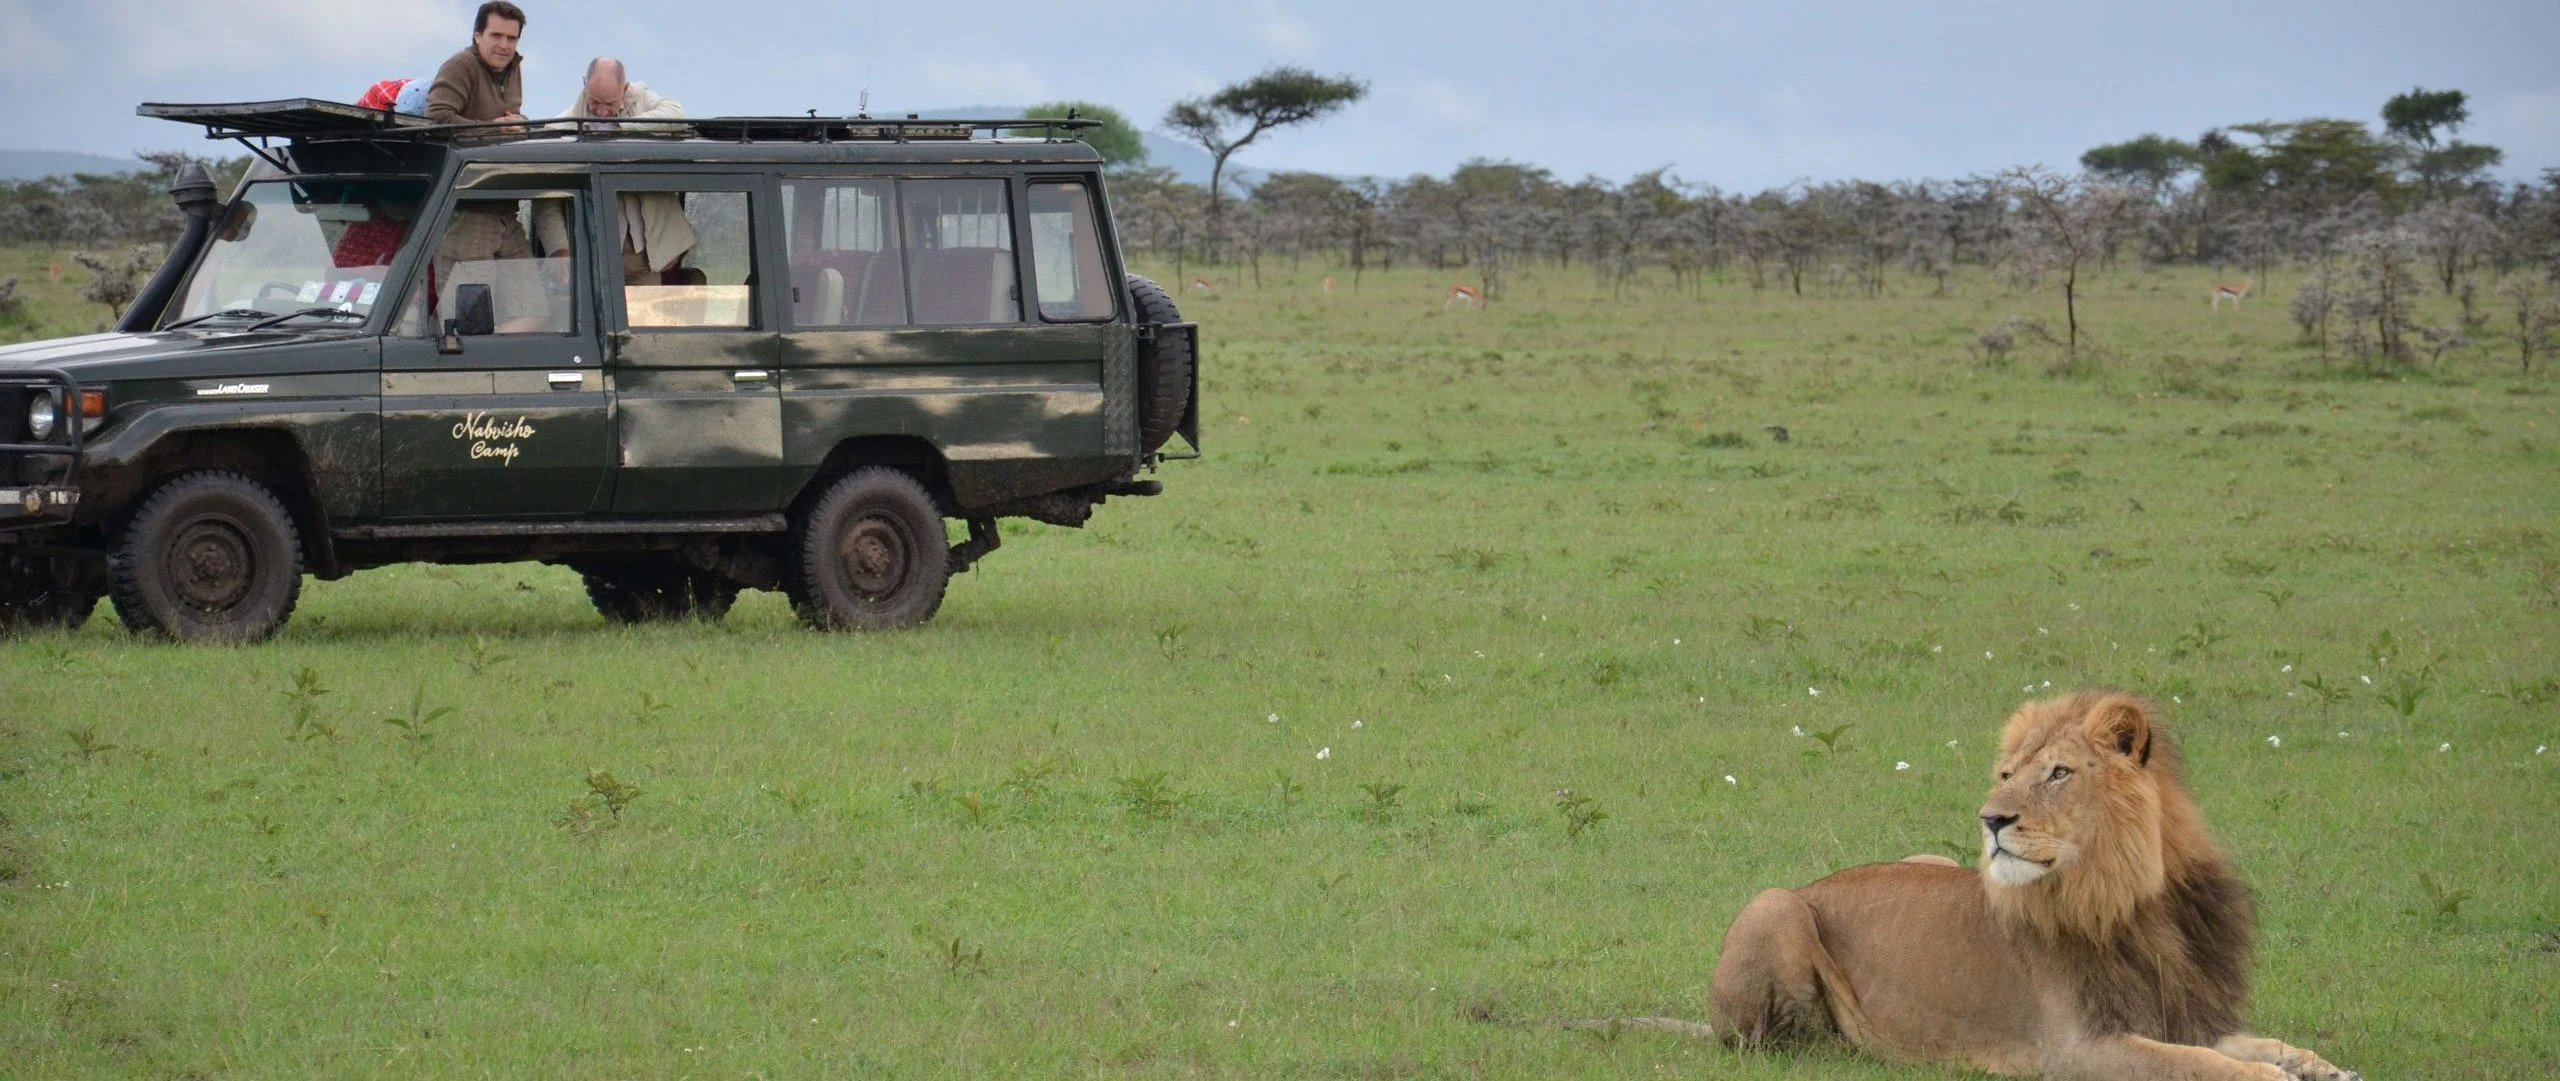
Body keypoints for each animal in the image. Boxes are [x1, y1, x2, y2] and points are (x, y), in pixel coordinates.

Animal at [1699, 691, 2361, 1080]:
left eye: (2059, 773)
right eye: (2007, 775)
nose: (1990, 820)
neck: (2132, 900)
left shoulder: (2184, 1012)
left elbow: (2252, 1044)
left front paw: (2320, 1066)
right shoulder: (2077, 1051)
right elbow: (2202, 1066)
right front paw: (2277, 1076)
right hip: (1776, 904)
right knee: (1778, 1042)